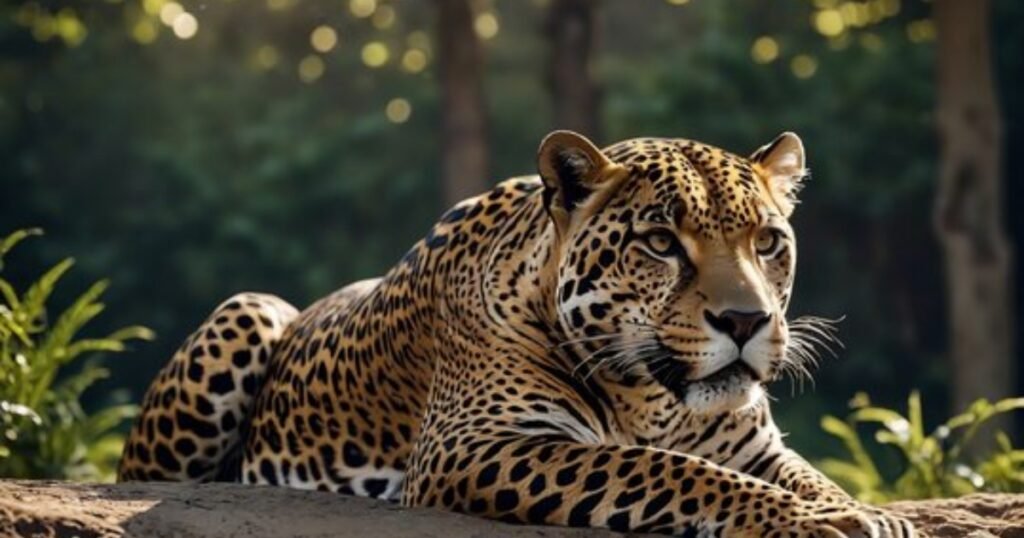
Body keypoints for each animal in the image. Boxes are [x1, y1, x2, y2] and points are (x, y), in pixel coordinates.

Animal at [118, 130, 916, 537]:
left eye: (768, 242)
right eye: (661, 243)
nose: (748, 321)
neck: (654, 399)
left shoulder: (756, 448)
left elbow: (805, 474)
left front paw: (856, 511)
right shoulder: (475, 444)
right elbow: (664, 469)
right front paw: (819, 521)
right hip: (250, 309)